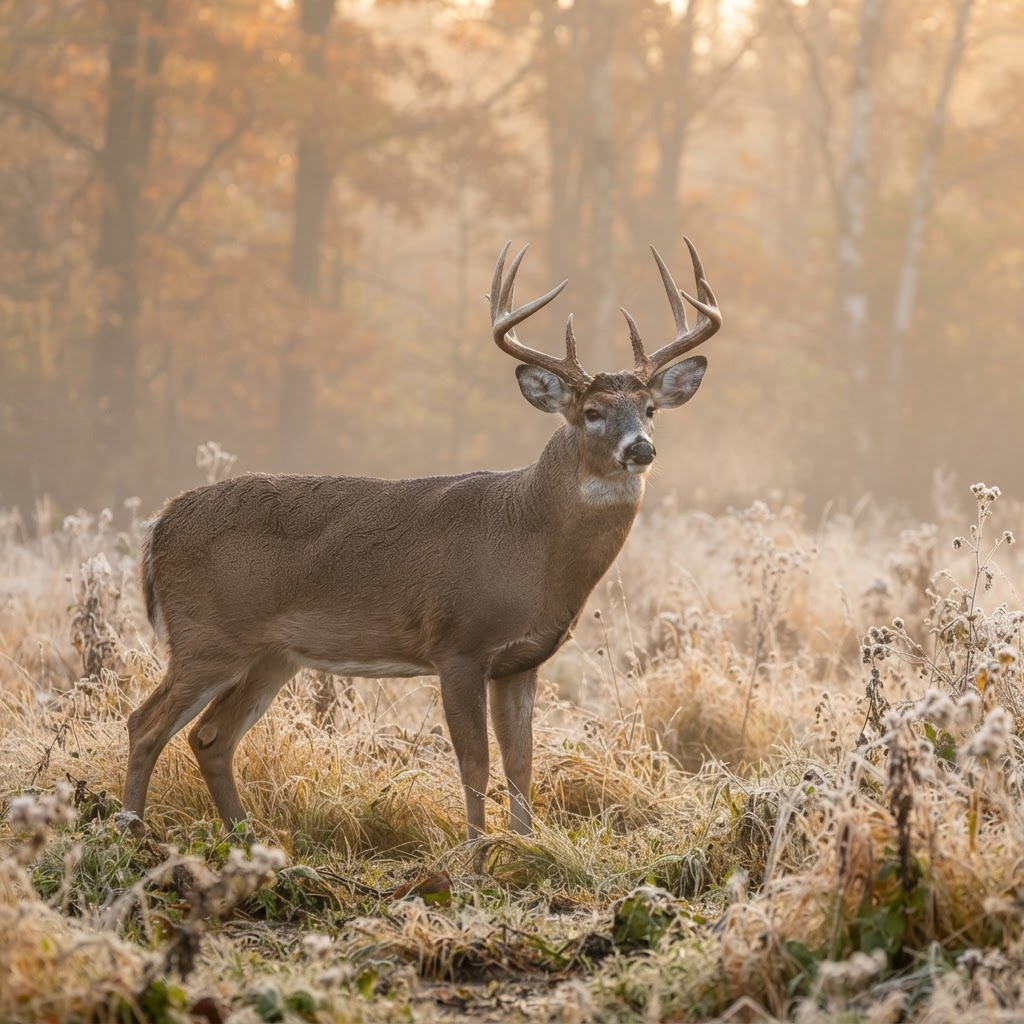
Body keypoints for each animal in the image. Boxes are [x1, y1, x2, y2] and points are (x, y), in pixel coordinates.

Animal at [122, 238, 722, 843]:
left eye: (649, 409)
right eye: (592, 412)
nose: (640, 448)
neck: (529, 542)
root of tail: (158, 525)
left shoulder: (521, 660)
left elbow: (521, 761)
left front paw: (527, 849)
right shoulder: (457, 644)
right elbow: (475, 763)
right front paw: (476, 853)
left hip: (270, 655)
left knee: (210, 737)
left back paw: (246, 839)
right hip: (207, 635)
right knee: (145, 723)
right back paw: (129, 832)